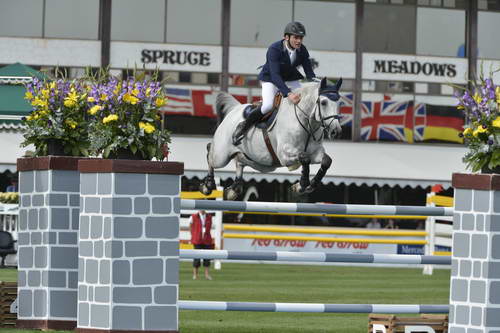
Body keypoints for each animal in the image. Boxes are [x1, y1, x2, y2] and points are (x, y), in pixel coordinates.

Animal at [199, 78, 344, 200]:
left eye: (339, 103)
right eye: (324, 102)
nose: (336, 131)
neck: (307, 124)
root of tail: (234, 110)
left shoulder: (316, 153)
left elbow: (326, 161)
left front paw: (308, 185)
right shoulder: (285, 155)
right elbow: (305, 158)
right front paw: (302, 185)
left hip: (257, 162)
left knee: (239, 160)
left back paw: (234, 189)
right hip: (221, 156)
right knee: (210, 152)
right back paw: (208, 185)